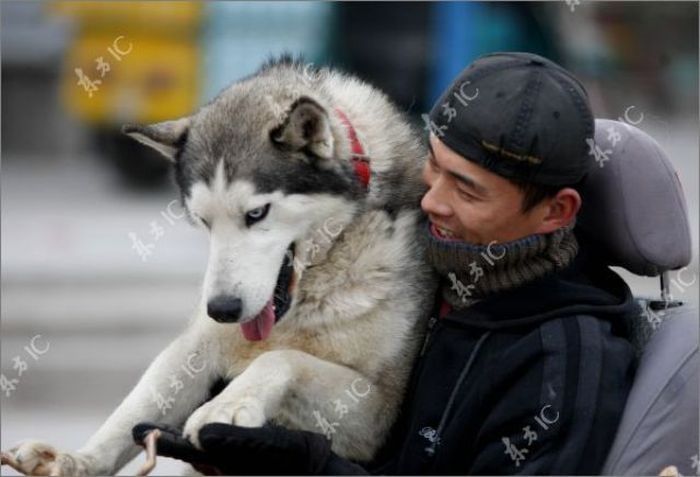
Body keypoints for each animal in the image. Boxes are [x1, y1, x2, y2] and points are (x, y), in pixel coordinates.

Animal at [2, 56, 434, 476]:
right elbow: (135, 408)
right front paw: (78, 460)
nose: (223, 309)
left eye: (256, 213)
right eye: (203, 220)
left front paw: (227, 404)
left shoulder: (378, 412)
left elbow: (282, 358)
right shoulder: (198, 345)